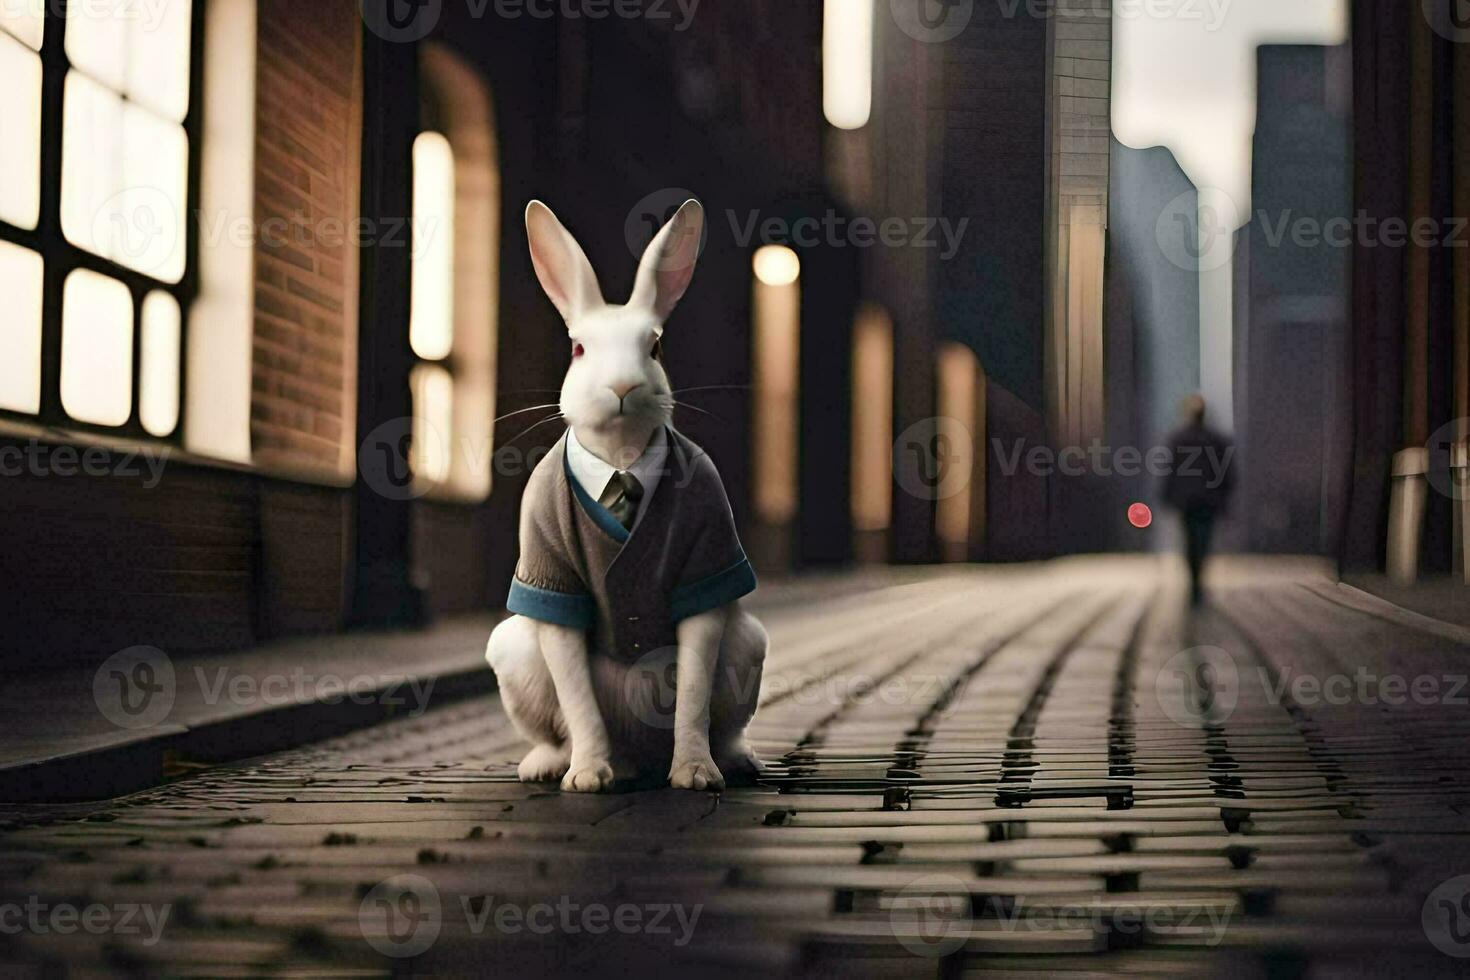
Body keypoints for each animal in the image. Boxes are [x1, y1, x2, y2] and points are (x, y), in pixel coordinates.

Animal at [490, 199, 776, 799]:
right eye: (578, 349)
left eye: (656, 346)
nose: (622, 386)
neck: (620, 461)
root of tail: (640, 754)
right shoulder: (551, 576)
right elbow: (577, 696)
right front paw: (588, 778)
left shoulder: (707, 562)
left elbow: (693, 693)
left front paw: (694, 774)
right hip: (511, 652)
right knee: (559, 729)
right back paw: (557, 766)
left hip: (749, 646)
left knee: (723, 724)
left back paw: (735, 761)